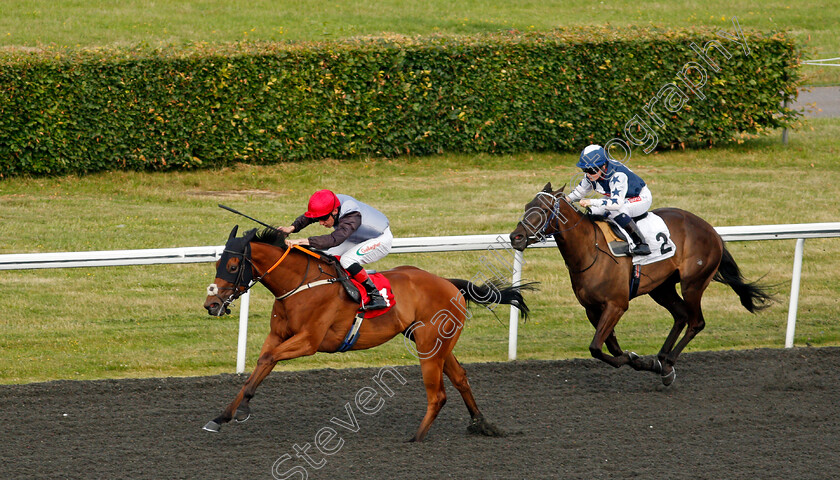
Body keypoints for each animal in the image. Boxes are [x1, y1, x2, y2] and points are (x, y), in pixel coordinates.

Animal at [202, 226, 532, 442]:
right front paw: (222, 417)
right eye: (217, 262)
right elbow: (262, 363)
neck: (300, 284)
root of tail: (450, 284)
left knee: (437, 394)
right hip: (438, 343)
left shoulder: (309, 341)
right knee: (461, 378)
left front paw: (242, 408)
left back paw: (417, 438)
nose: (211, 304)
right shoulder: (278, 336)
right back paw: (482, 424)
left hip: (429, 345)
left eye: (233, 264)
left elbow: (269, 358)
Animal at [506, 182, 776, 384]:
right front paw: (642, 360)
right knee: (681, 315)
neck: (590, 250)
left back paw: (668, 364)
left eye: (542, 210)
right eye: (527, 207)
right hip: (661, 287)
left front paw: (638, 359)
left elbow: (597, 347)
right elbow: (610, 347)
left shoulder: (616, 304)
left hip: (693, 283)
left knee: (696, 322)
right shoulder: (592, 308)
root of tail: (711, 230)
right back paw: (662, 359)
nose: (515, 237)